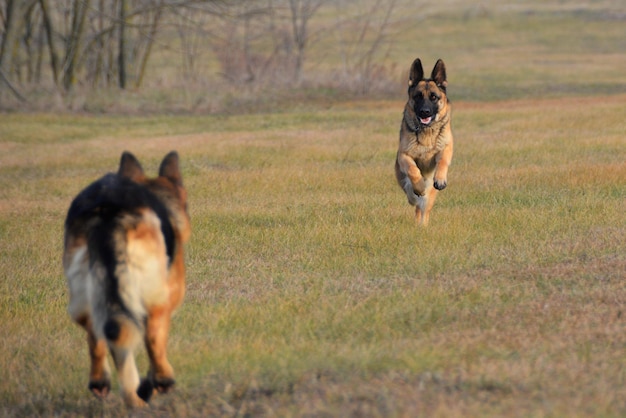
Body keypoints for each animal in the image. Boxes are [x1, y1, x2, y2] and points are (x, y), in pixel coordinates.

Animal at [63, 151, 191, 408]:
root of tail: (107, 209)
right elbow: (156, 342)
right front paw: (151, 385)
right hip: (154, 295)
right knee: (149, 337)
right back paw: (162, 380)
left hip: (86, 297)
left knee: (100, 336)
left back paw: (109, 386)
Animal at [394, 58, 454, 225]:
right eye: (418, 96)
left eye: (433, 97)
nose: (424, 112)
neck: (426, 133)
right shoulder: (404, 155)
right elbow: (413, 170)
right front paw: (419, 185)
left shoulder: (446, 148)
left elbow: (442, 161)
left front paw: (440, 179)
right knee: (413, 199)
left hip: (429, 198)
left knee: (423, 211)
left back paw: (422, 226)